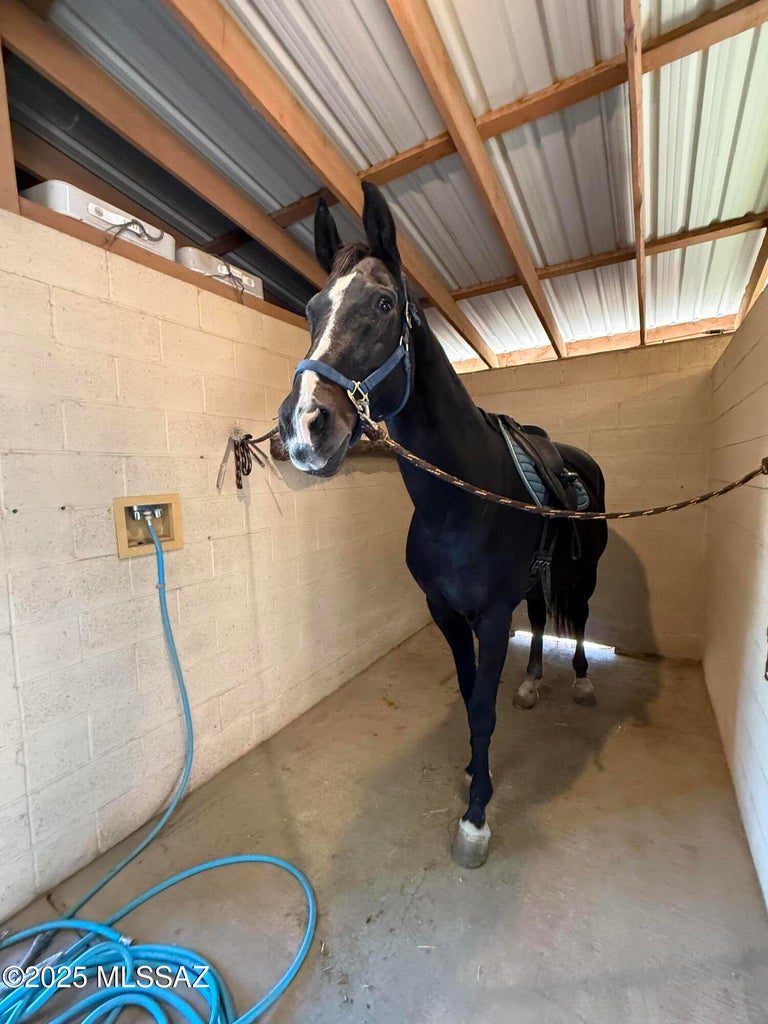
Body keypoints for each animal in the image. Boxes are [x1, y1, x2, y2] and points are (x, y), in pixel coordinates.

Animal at [277, 182, 608, 868]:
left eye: (383, 303)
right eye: (311, 309)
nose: (302, 427)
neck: (462, 505)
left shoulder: (491, 616)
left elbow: (481, 707)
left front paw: (476, 815)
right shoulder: (445, 612)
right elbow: (466, 691)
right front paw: (474, 771)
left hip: (585, 572)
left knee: (581, 618)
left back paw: (582, 685)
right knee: (543, 617)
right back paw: (532, 685)